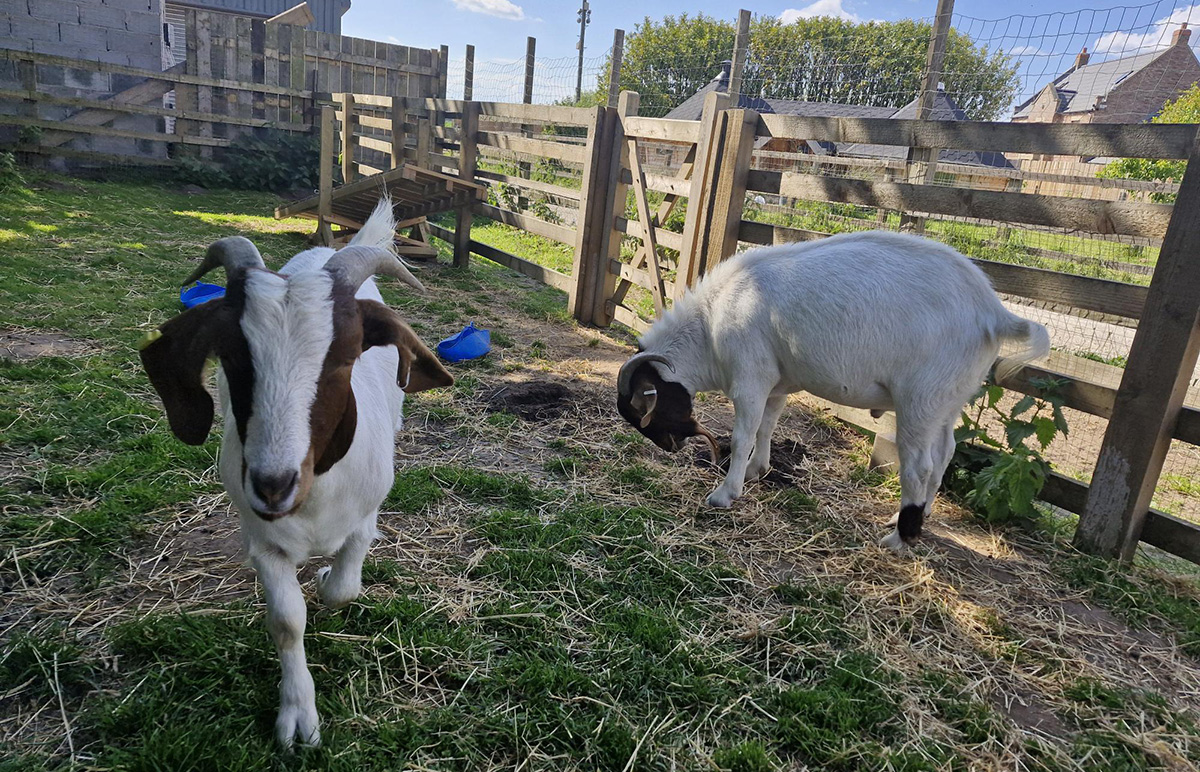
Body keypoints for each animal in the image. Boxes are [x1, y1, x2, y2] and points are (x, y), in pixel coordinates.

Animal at [139, 199, 452, 748]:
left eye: (346, 355)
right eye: (231, 356)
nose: (272, 484)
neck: (315, 498)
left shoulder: (366, 518)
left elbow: (342, 588)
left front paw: (328, 575)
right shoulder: (264, 541)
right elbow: (287, 621)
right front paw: (298, 715)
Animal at [616, 230, 1050, 551]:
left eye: (644, 411)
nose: (671, 447)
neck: (709, 324)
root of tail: (993, 313)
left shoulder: (750, 377)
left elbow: (742, 436)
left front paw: (725, 493)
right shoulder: (777, 381)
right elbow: (767, 427)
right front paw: (758, 470)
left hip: (921, 397)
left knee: (920, 466)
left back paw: (899, 538)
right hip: (950, 397)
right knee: (944, 455)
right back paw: (914, 517)